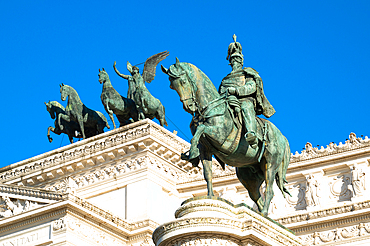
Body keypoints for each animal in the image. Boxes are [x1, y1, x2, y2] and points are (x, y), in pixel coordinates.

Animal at [162, 58, 292, 215]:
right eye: (171, 85)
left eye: (183, 81)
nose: (189, 107)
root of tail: (283, 137)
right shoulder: (205, 148)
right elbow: (208, 173)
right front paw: (210, 195)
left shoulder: (220, 136)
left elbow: (201, 129)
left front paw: (192, 153)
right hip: (248, 174)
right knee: (256, 195)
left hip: (270, 164)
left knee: (270, 189)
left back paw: (265, 213)